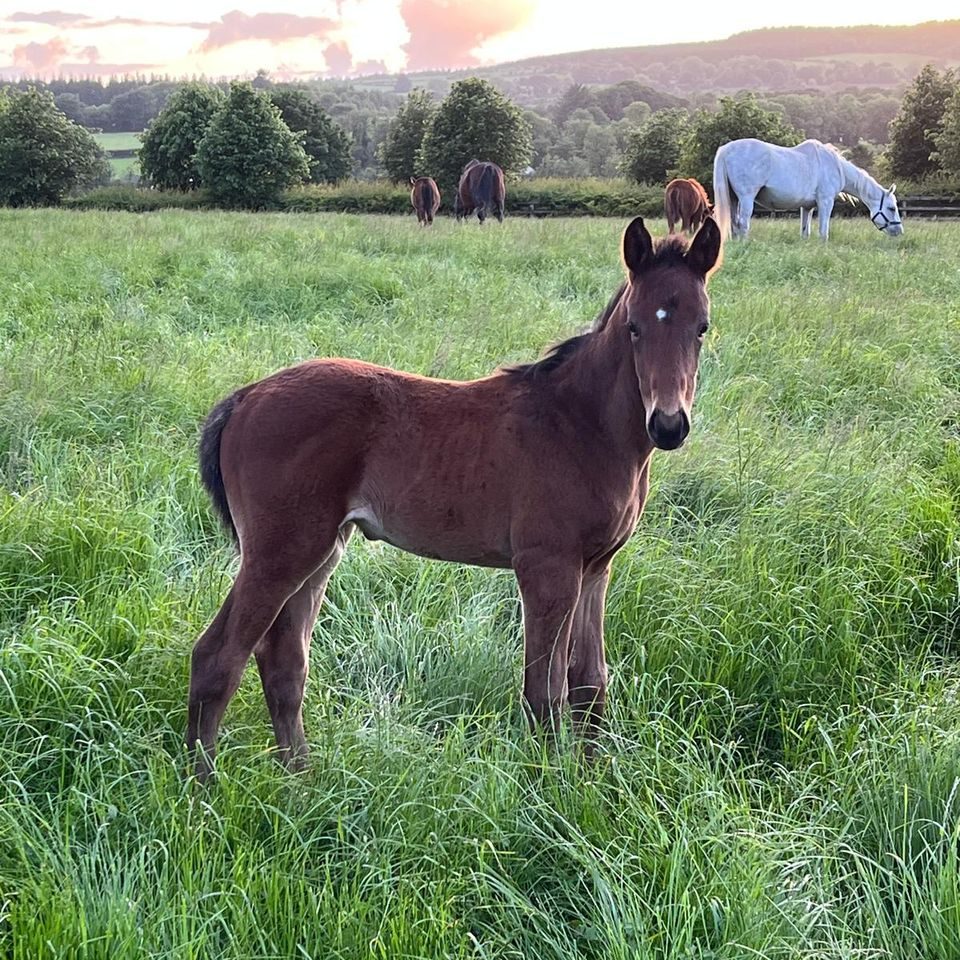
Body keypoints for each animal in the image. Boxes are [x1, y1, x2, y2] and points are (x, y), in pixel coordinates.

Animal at [186, 216, 723, 780]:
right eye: (635, 327)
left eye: (702, 327)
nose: (668, 425)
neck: (579, 424)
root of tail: (244, 398)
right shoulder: (547, 566)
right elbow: (544, 692)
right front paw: (547, 787)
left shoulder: (596, 568)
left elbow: (589, 684)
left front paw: (591, 780)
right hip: (279, 552)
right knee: (218, 657)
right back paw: (205, 787)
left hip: (321, 550)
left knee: (283, 660)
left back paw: (304, 780)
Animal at [712, 138, 903, 240]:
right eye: (892, 208)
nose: (899, 231)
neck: (834, 166)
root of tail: (726, 150)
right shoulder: (825, 202)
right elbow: (823, 232)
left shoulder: (807, 207)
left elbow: (805, 232)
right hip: (746, 198)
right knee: (743, 224)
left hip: (734, 199)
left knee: (735, 224)